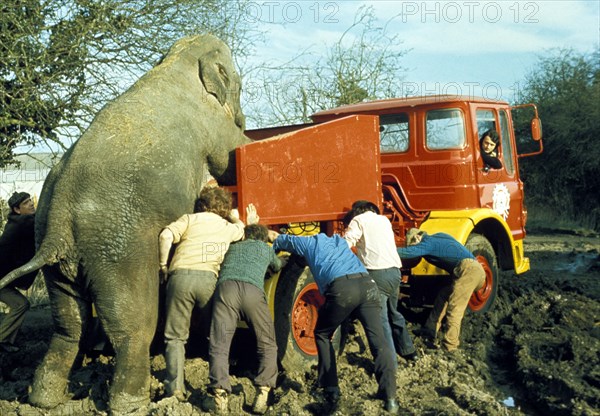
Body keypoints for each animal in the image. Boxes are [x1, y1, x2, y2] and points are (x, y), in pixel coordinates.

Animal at [0, 34, 248, 414]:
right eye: (239, 83)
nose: (244, 119)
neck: (179, 59)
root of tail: (58, 225)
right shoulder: (213, 124)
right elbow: (229, 157)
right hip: (119, 250)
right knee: (134, 324)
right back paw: (132, 404)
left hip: (59, 259)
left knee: (69, 324)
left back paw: (44, 400)